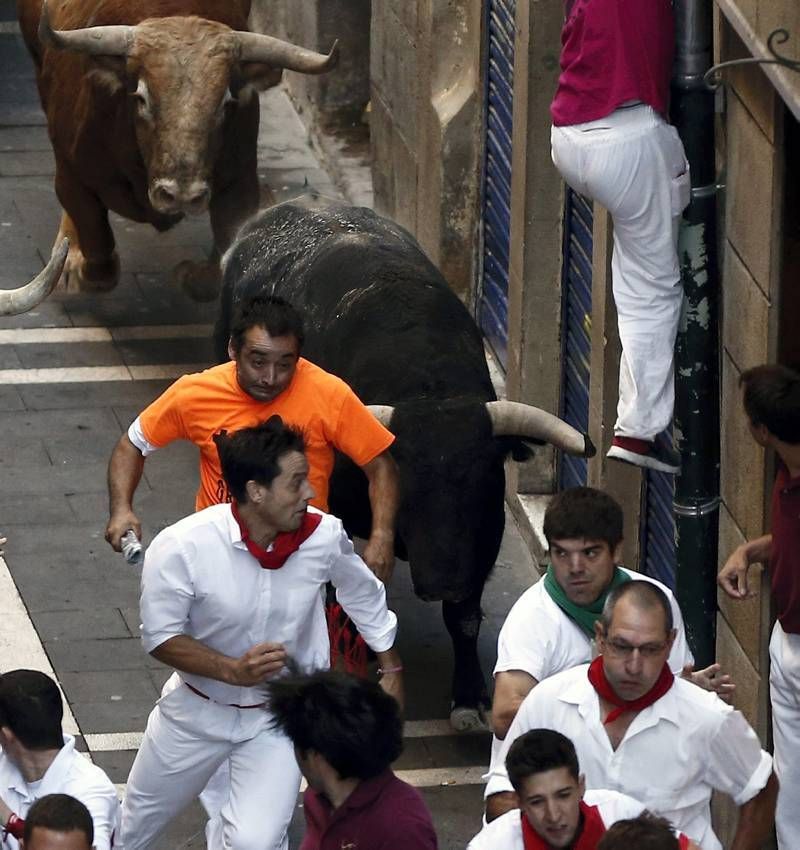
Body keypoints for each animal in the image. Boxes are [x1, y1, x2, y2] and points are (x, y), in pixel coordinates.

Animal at [18, 0, 338, 300]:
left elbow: (220, 269)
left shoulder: (239, 181)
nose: (181, 195)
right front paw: (72, 263)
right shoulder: (71, 173)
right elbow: (99, 260)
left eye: (225, 103)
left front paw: (191, 274)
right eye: (142, 98)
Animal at [214, 200, 592, 728]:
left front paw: (469, 696)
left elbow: (464, 616)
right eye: (404, 483)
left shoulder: (483, 535)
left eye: (479, 479)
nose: (441, 581)